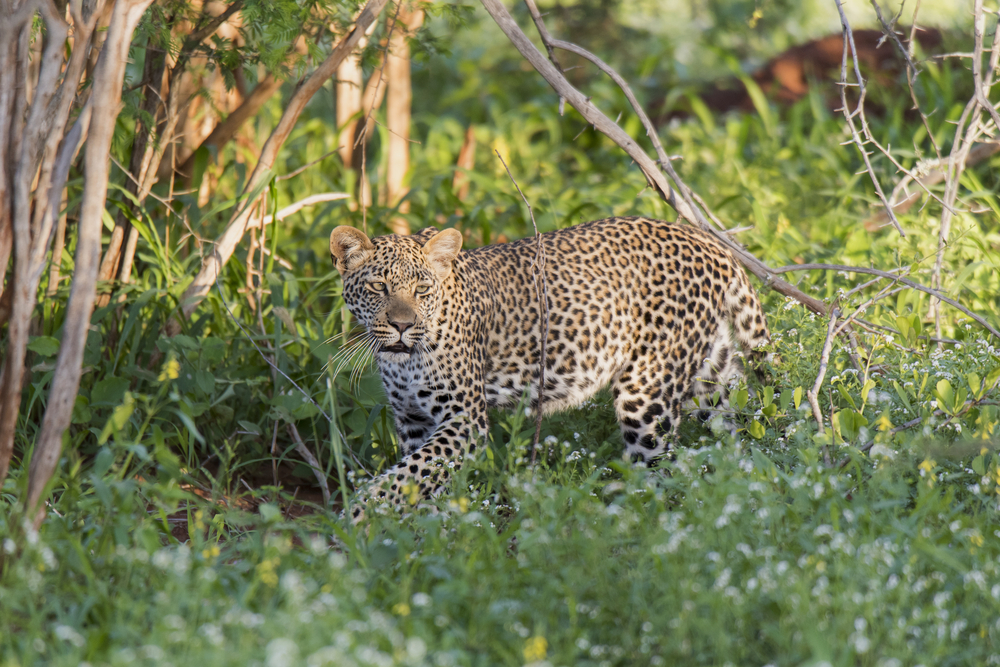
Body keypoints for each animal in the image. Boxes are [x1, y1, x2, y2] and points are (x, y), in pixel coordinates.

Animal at [332, 215, 768, 520]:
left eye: (421, 290)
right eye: (378, 287)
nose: (402, 326)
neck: (404, 362)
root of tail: (708, 242)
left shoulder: (464, 421)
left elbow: (403, 477)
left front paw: (355, 518)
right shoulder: (413, 422)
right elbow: (415, 478)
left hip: (647, 395)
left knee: (659, 471)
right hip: (712, 373)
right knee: (737, 426)